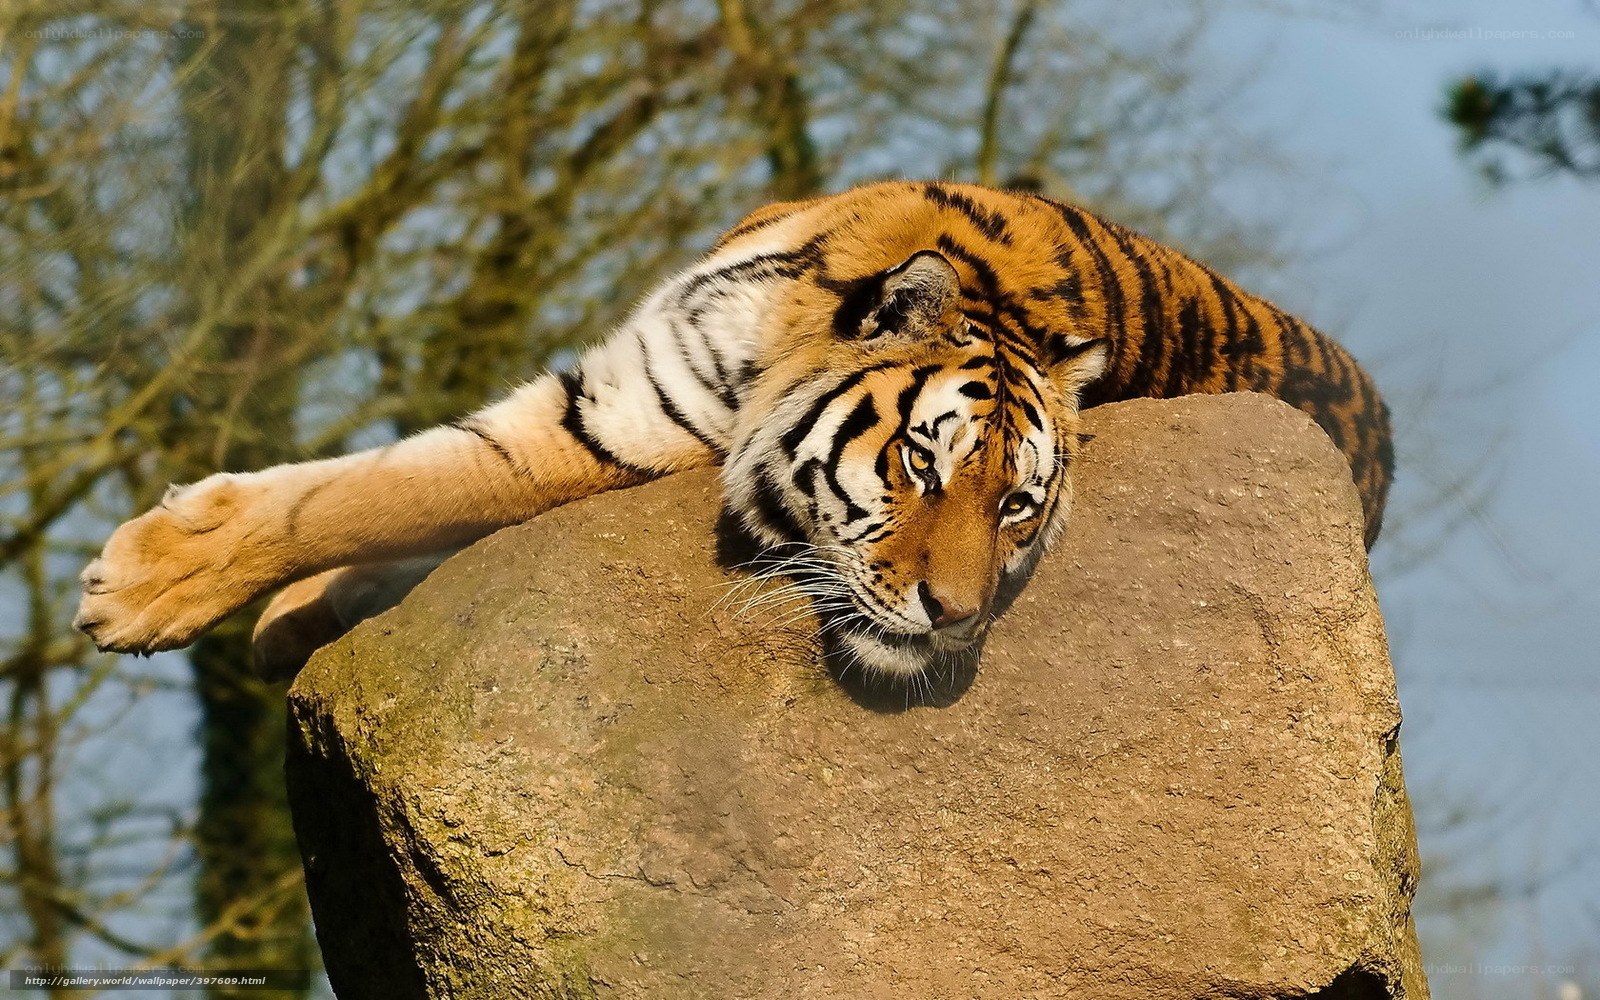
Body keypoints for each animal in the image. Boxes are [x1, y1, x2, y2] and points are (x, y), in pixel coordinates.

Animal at [73, 181, 1393, 680]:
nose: (956, 617)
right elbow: (384, 491)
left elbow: (392, 492)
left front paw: (140, 588)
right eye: (921, 463)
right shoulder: (618, 390)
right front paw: (263, 605)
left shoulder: (604, 434)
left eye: (1017, 506)